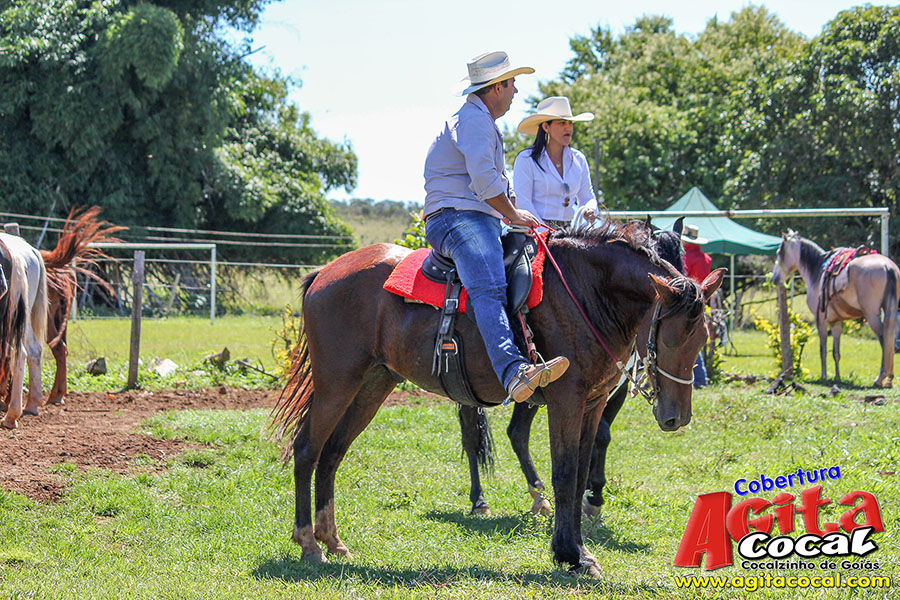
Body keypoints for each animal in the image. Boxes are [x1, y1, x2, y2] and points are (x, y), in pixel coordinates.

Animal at [457, 219, 688, 519]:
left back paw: (538, 496)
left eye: (681, 259)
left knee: (516, 432)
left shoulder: (612, 390)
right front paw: (592, 494)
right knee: (473, 436)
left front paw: (591, 491)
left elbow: (600, 436)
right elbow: (600, 434)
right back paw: (479, 499)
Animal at [772, 230, 900, 387]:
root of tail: (888, 266)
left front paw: (824, 376)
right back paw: (889, 379)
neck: (817, 272)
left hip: (872, 315)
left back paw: (880, 378)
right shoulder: (836, 322)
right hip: (890, 310)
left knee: (884, 340)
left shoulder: (821, 320)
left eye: (779, 252)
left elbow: (823, 349)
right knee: (890, 340)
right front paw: (837, 377)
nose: (774, 279)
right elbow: (836, 352)